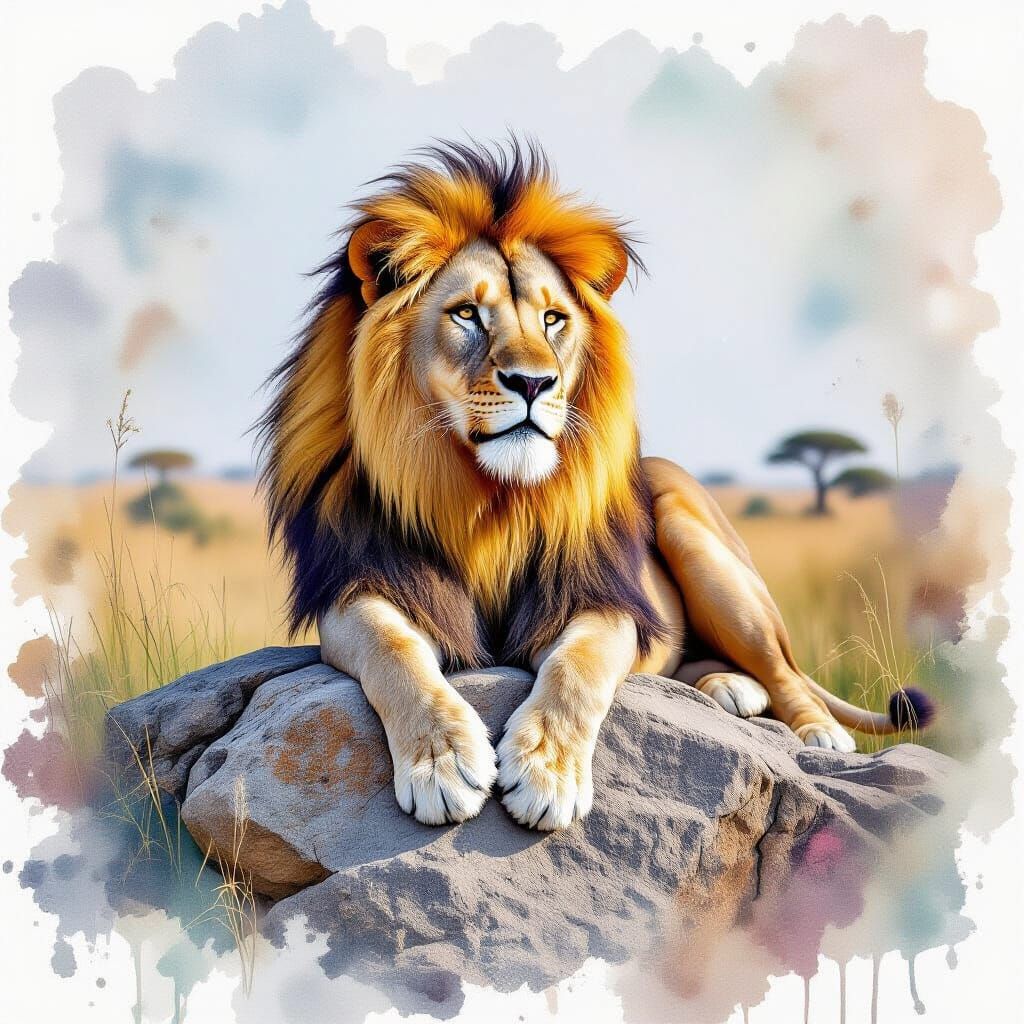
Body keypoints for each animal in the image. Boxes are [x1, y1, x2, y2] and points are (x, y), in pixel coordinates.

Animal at [258, 139, 933, 832]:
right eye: (467, 313)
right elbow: (394, 650)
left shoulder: (601, 600)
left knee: (786, 670)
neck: (486, 500)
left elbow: (575, 669)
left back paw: (819, 731)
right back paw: (728, 689)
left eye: (554, 320)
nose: (535, 382)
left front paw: (547, 774)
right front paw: (442, 763)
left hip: (700, 542)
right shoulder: (359, 587)